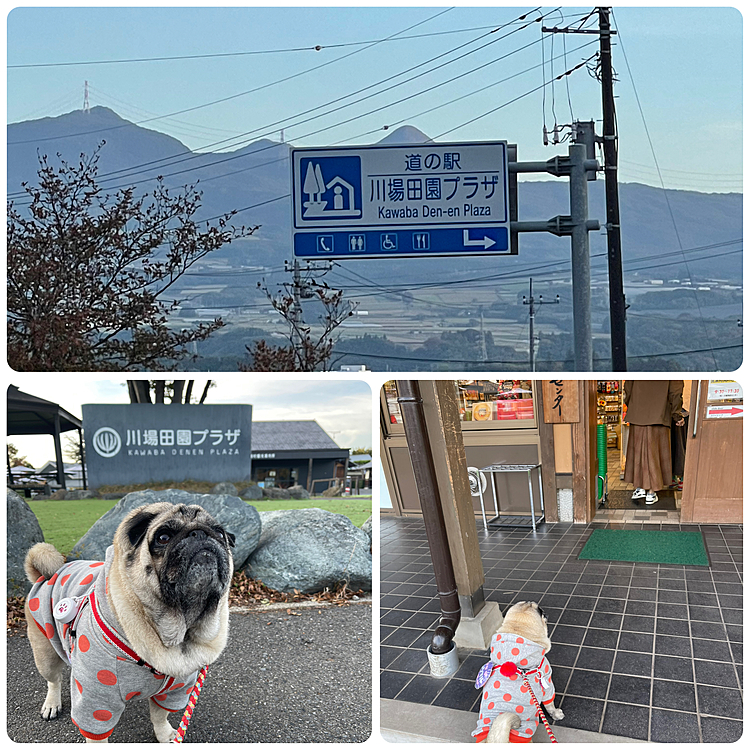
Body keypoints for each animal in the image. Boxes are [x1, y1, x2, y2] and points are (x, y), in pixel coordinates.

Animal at [25, 502, 234, 744]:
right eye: (163, 537)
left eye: (220, 533)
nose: (199, 533)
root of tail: (47, 573)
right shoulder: (96, 702)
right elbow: (96, 734)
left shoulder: (175, 689)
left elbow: (160, 715)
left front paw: (164, 735)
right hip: (45, 653)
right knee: (53, 679)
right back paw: (52, 704)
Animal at [476, 604, 564, 744]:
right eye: (540, 610)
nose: (543, 610)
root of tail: (494, 741)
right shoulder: (547, 681)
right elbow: (550, 703)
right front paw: (556, 713)